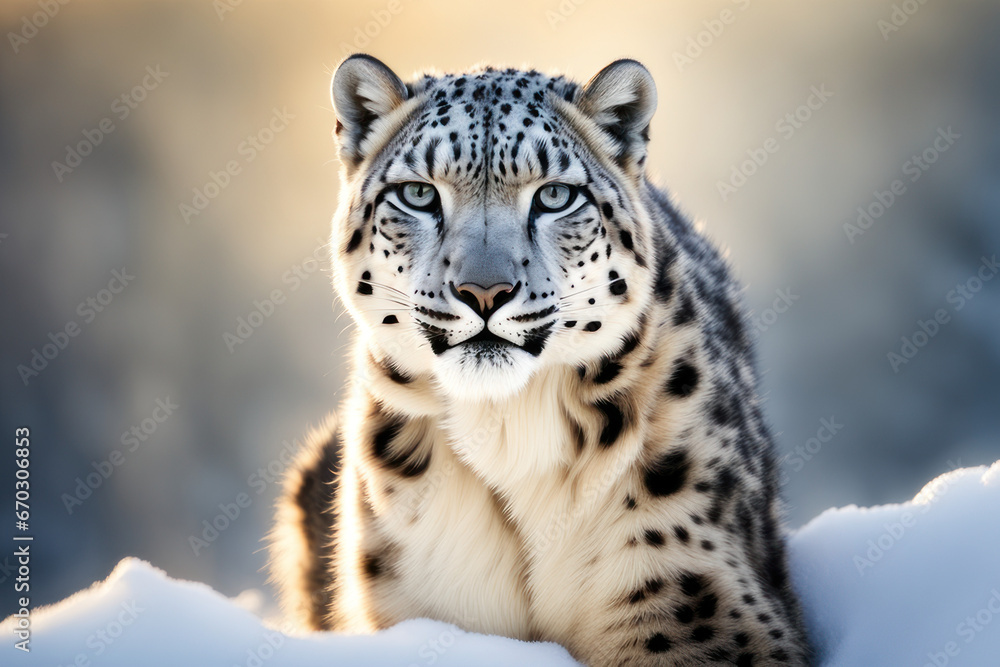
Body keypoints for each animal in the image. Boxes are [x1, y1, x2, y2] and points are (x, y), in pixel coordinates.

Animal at [269, 53, 812, 666]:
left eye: (554, 196)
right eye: (419, 195)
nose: (484, 291)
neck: (504, 426)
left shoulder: (690, 590)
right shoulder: (421, 603)